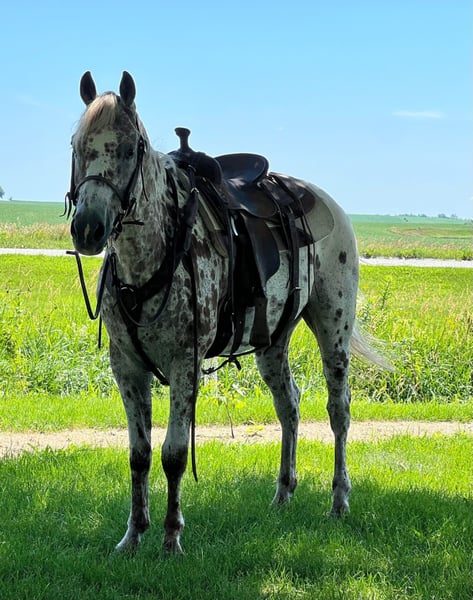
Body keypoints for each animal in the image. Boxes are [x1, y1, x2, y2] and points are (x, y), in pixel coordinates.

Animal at [67, 70, 384, 554]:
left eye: (128, 148)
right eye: (77, 146)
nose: (87, 229)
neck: (151, 256)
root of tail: (326, 202)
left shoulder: (185, 364)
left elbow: (174, 455)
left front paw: (171, 538)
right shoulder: (127, 367)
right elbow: (139, 455)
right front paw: (133, 536)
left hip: (334, 330)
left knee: (339, 411)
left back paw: (339, 500)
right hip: (272, 344)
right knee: (289, 406)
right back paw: (283, 493)